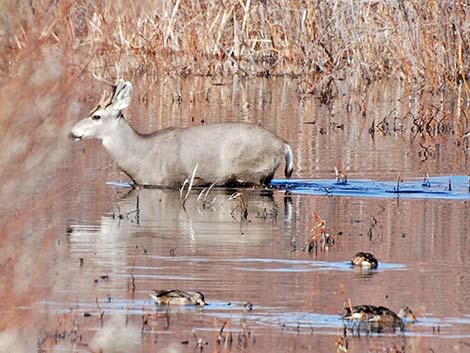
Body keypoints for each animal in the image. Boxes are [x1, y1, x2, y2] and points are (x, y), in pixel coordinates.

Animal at [68, 78, 292, 186]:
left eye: (96, 116)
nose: (71, 133)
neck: (141, 157)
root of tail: (283, 144)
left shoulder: (167, 181)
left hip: (251, 170)